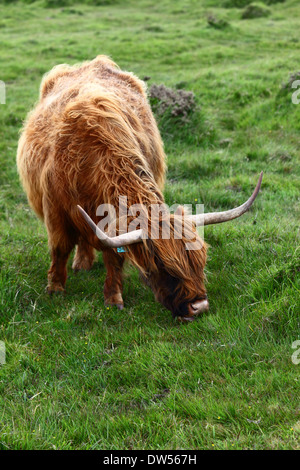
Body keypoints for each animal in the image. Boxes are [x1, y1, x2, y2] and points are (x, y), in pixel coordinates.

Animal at [16, 54, 262, 320]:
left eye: (201, 261)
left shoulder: (112, 222)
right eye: (164, 266)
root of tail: (96, 61)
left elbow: (113, 258)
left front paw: (113, 299)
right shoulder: (54, 209)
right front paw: (55, 289)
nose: (199, 307)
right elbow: (59, 248)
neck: (87, 161)